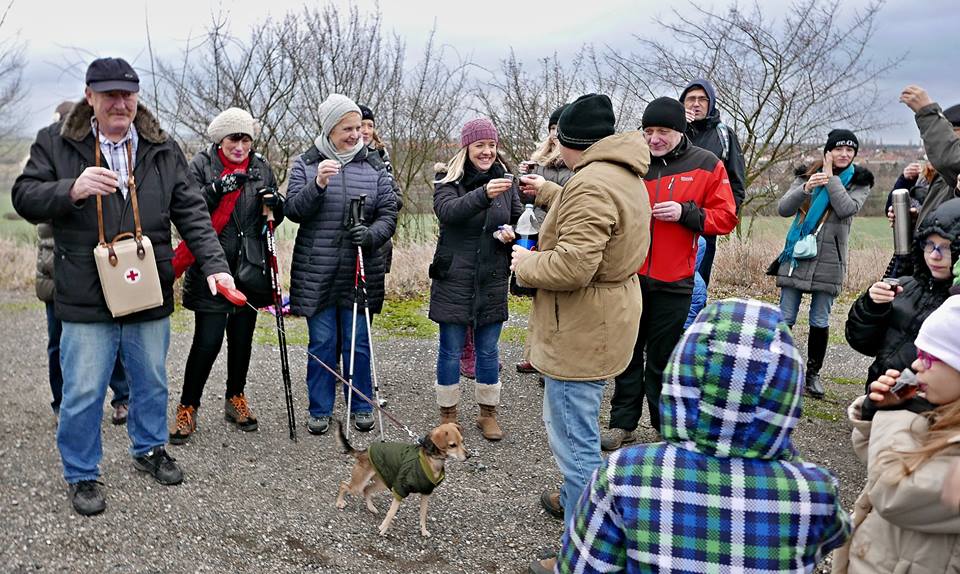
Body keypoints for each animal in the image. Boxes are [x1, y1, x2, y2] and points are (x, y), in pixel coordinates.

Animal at [334, 420, 468, 536]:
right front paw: (383, 528)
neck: (431, 459)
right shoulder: (400, 490)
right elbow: (391, 513)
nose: (469, 455)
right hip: (359, 484)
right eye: (452, 445)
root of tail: (363, 452)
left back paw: (371, 508)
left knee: (366, 489)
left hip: (382, 482)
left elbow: (423, 515)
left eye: (462, 441)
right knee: (343, 485)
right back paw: (339, 502)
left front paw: (423, 531)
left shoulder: (426, 493)